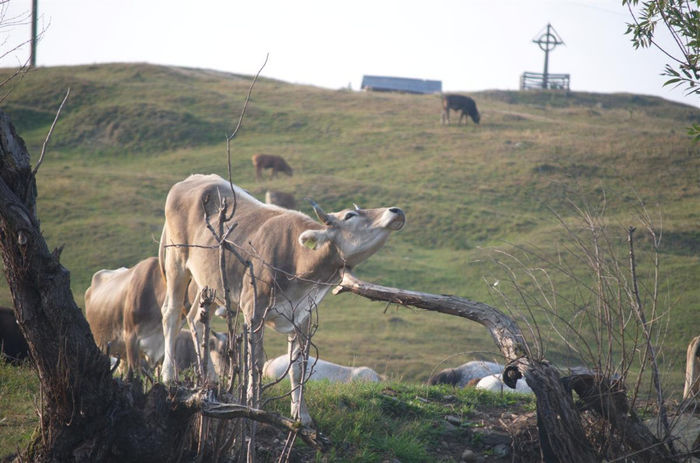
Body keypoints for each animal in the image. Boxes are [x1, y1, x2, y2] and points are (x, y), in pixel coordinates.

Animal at [156, 175, 402, 428]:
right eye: (350, 215)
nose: (396, 210)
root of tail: (192, 179)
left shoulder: (303, 315)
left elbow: (298, 367)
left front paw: (301, 414)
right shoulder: (253, 309)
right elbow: (254, 363)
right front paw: (252, 405)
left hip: (211, 282)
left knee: (196, 318)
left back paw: (212, 381)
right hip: (176, 260)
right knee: (171, 315)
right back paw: (168, 375)